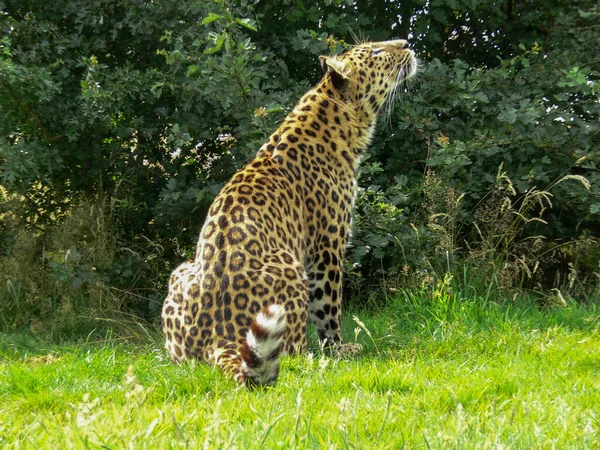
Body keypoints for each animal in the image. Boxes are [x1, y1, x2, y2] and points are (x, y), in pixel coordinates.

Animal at [162, 38, 420, 386]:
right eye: (376, 52)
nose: (406, 42)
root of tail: (219, 337)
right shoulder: (327, 245)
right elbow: (328, 305)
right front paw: (338, 349)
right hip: (290, 267)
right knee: (292, 349)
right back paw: (312, 353)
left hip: (181, 272)